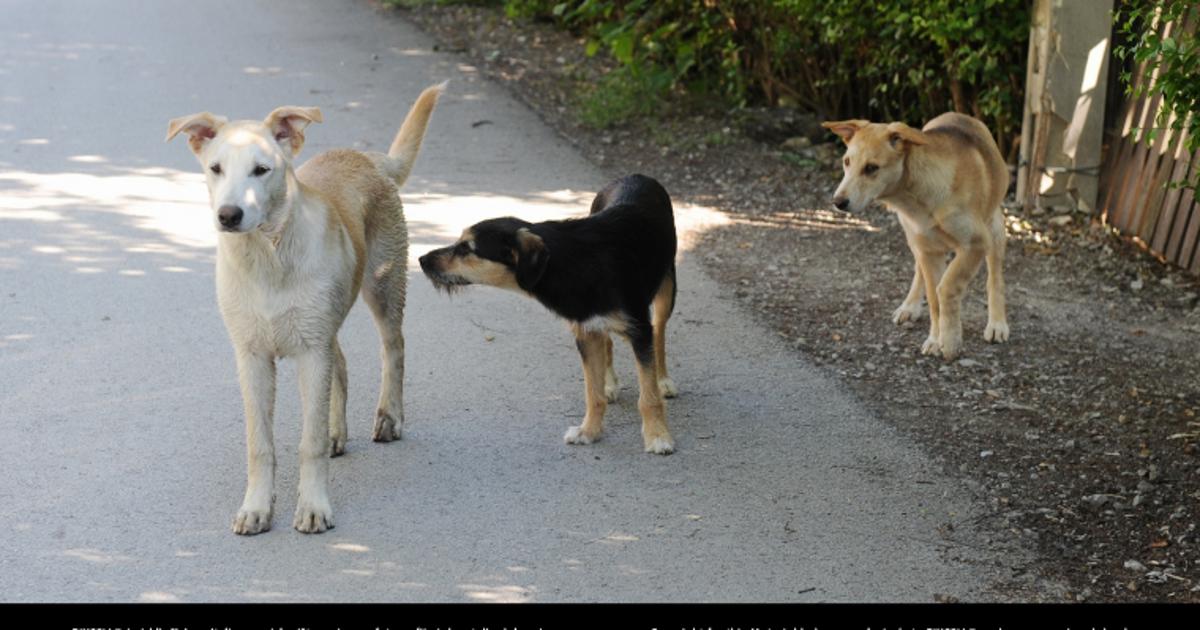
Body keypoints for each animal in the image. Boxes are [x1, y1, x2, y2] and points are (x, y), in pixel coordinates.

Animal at [168, 83, 446, 532]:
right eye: (215, 168)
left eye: (261, 170)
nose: (228, 215)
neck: (267, 258)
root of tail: (367, 158)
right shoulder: (252, 357)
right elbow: (259, 445)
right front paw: (256, 508)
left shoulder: (312, 353)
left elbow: (308, 441)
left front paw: (314, 506)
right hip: (324, 320)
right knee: (344, 363)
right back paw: (338, 432)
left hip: (381, 286)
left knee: (394, 347)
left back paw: (389, 417)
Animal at [420, 172, 681, 451]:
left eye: (467, 248)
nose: (421, 260)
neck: (576, 263)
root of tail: (637, 175)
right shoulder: (585, 333)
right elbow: (593, 393)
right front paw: (589, 431)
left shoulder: (639, 329)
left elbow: (648, 396)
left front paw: (657, 436)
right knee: (609, 341)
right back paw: (610, 382)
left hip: (666, 292)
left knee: (659, 334)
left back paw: (663, 380)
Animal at [820, 112, 1008, 357]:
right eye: (846, 162)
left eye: (871, 168)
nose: (838, 203)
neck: (918, 198)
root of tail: (961, 115)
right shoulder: (927, 251)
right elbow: (934, 298)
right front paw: (936, 339)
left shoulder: (975, 244)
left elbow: (946, 288)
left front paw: (950, 340)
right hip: (916, 242)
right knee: (920, 272)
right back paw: (909, 306)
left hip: (994, 231)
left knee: (994, 278)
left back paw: (997, 324)